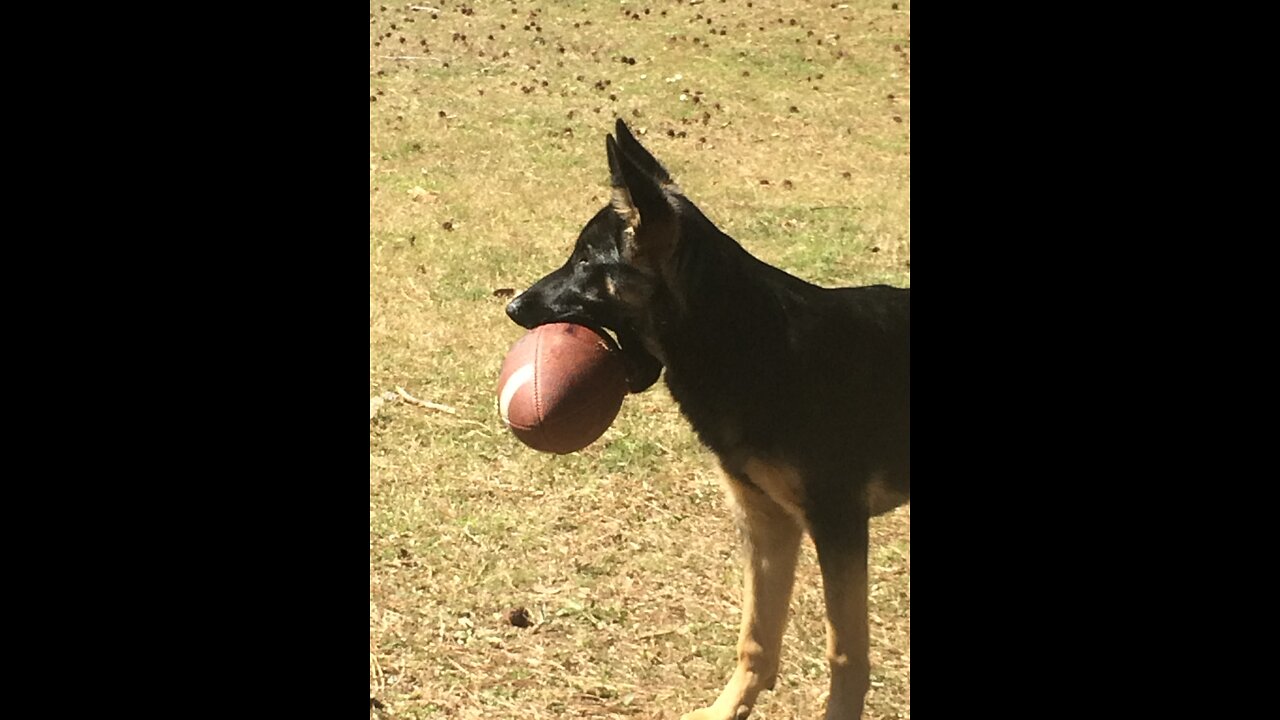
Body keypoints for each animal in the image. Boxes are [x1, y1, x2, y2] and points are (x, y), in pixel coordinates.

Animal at [504, 120, 906, 712]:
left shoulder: (838, 525)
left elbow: (846, 655)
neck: (749, 342)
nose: (512, 306)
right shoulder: (766, 522)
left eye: (585, 262)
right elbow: (757, 638)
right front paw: (725, 710)